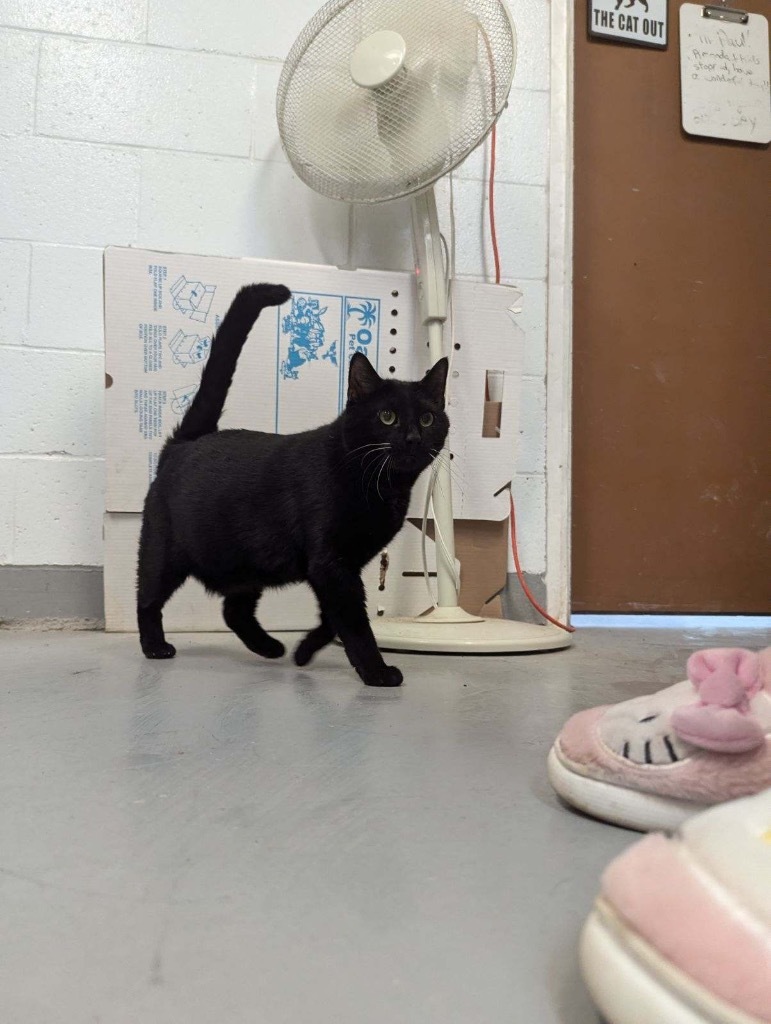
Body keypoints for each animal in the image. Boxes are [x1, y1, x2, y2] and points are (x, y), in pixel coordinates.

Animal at [137, 284, 450, 688]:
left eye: (427, 418)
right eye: (387, 416)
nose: (412, 438)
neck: (381, 487)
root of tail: (184, 442)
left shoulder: (338, 567)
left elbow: (334, 619)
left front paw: (305, 651)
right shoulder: (331, 563)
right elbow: (354, 621)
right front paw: (377, 671)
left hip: (248, 563)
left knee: (233, 609)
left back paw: (270, 648)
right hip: (164, 553)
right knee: (148, 599)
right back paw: (155, 647)